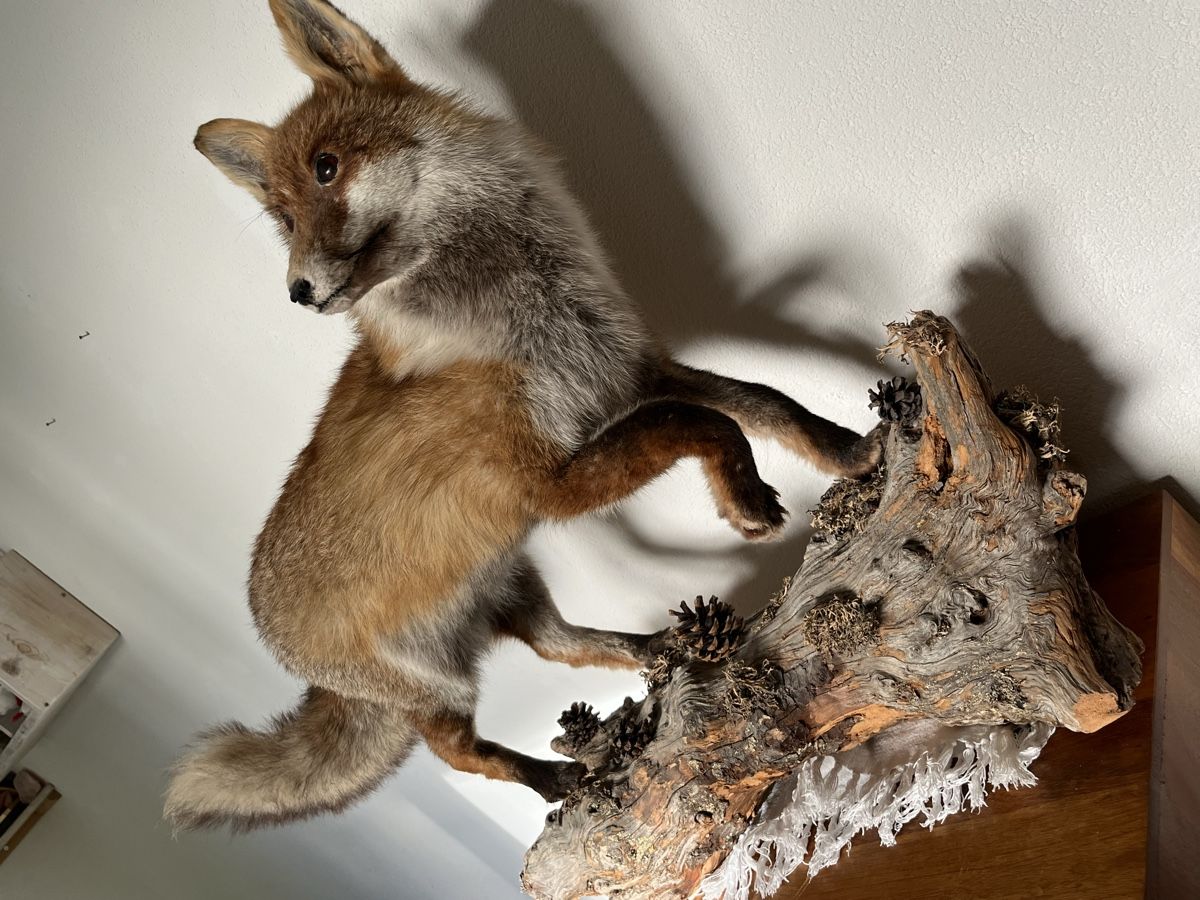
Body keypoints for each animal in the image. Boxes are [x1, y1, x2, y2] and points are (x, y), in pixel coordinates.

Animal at [164, 0, 882, 831]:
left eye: (325, 169)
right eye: (282, 219)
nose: (299, 292)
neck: (525, 315)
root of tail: (284, 650)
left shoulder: (631, 371)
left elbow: (765, 403)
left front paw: (848, 449)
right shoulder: (548, 482)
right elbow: (701, 423)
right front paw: (748, 502)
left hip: (513, 585)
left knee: (562, 648)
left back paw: (662, 650)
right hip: (442, 686)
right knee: (461, 752)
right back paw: (554, 778)